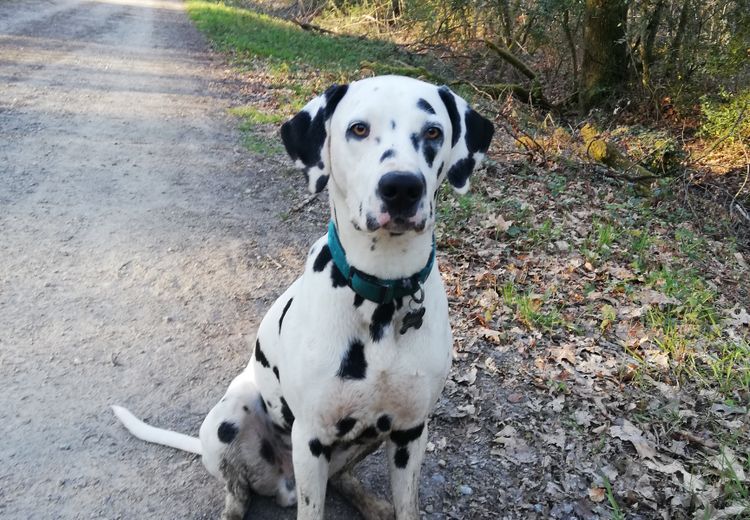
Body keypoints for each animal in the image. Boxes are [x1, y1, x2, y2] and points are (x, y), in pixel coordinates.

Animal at [113, 74, 494, 520]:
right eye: (358, 129)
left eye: (433, 132)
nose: (401, 186)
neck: (382, 290)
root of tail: (283, 483)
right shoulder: (311, 437)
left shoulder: (410, 432)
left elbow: (407, 507)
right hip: (229, 418)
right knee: (237, 489)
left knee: (341, 477)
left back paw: (369, 503)